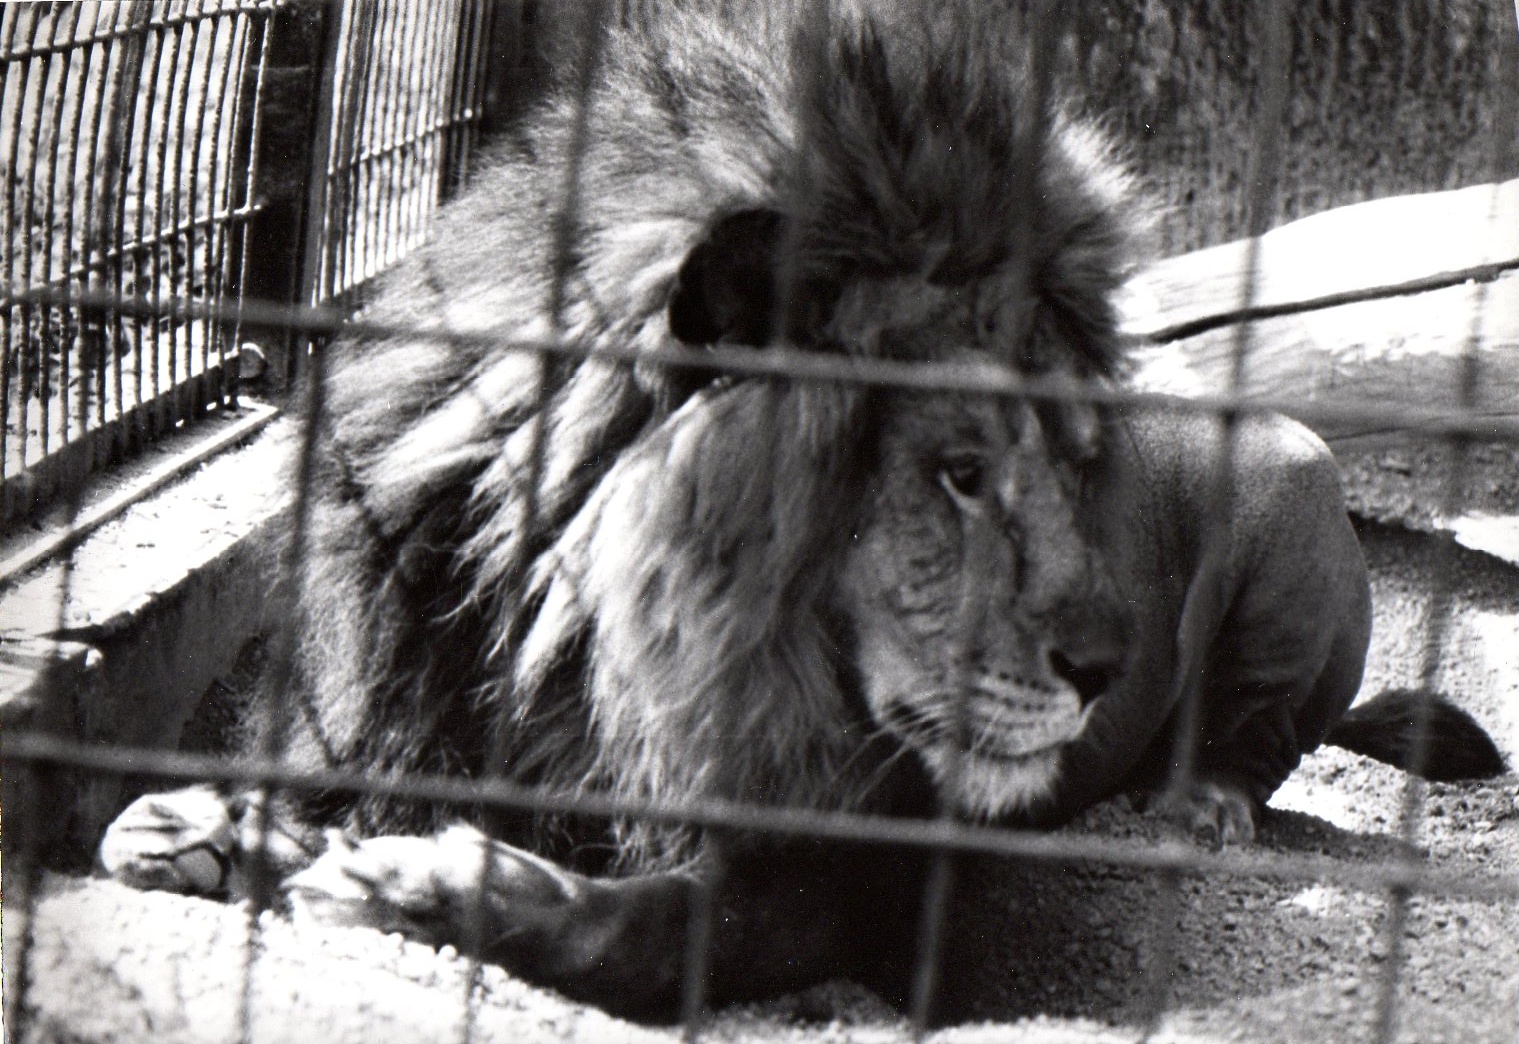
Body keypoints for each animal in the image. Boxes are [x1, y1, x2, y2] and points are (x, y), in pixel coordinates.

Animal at [99, 0, 1506, 1022]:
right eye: (959, 470)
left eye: (1073, 461)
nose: (1109, 664)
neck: (584, 639)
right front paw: (210, 827)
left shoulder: (852, 876)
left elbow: (658, 929)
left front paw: (441, 891)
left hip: (1292, 498)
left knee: (1264, 737)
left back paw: (1200, 801)